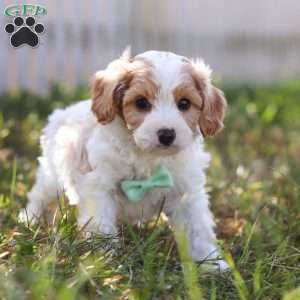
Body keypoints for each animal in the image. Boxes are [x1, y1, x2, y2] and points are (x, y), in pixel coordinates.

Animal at [19, 49, 227, 270]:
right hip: (51, 175)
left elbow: (198, 229)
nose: (166, 134)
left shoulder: (186, 193)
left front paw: (212, 263)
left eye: (184, 104)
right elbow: (101, 225)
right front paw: (104, 259)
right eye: (141, 103)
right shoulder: (100, 187)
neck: (146, 155)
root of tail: (63, 111)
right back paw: (29, 219)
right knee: (39, 196)